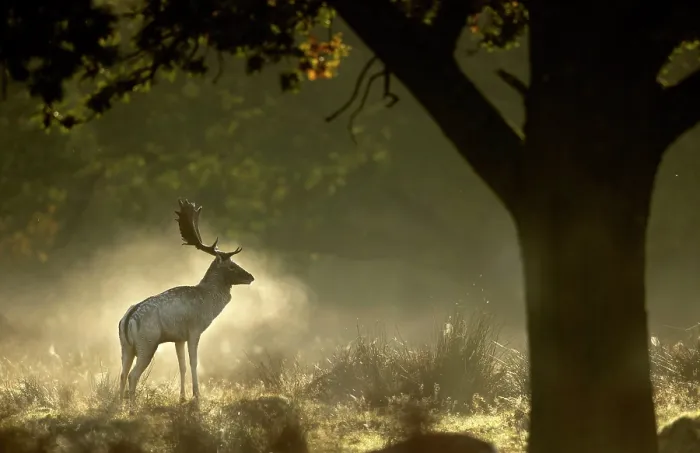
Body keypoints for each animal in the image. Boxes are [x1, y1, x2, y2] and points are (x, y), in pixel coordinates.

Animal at [117, 198, 254, 408]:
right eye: (232, 266)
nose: (251, 277)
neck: (209, 302)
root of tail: (128, 319)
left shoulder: (178, 337)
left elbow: (181, 365)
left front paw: (182, 397)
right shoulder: (194, 329)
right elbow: (193, 362)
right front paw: (197, 395)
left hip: (126, 346)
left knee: (122, 374)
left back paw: (118, 405)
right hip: (147, 343)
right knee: (133, 375)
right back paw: (133, 408)